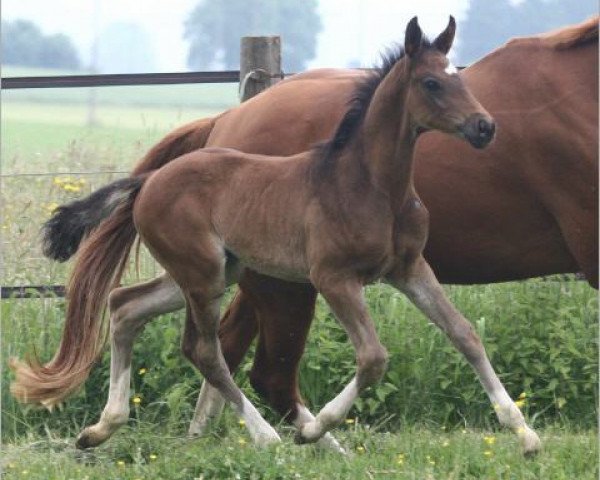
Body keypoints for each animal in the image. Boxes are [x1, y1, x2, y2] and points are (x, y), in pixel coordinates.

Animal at [12, 16, 596, 454]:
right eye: (431, 83)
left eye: (463, 79)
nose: (485, 128)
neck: (370, 182)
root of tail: (149, 180)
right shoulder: (335, 277)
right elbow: (373, 357)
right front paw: (319, 427)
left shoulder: (409, 269)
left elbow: (465, 335)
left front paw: (525, 434)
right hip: (232, 280)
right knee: (213, 352)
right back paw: (281, 438)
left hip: (216, 272)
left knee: (127, 307)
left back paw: (102, 428)